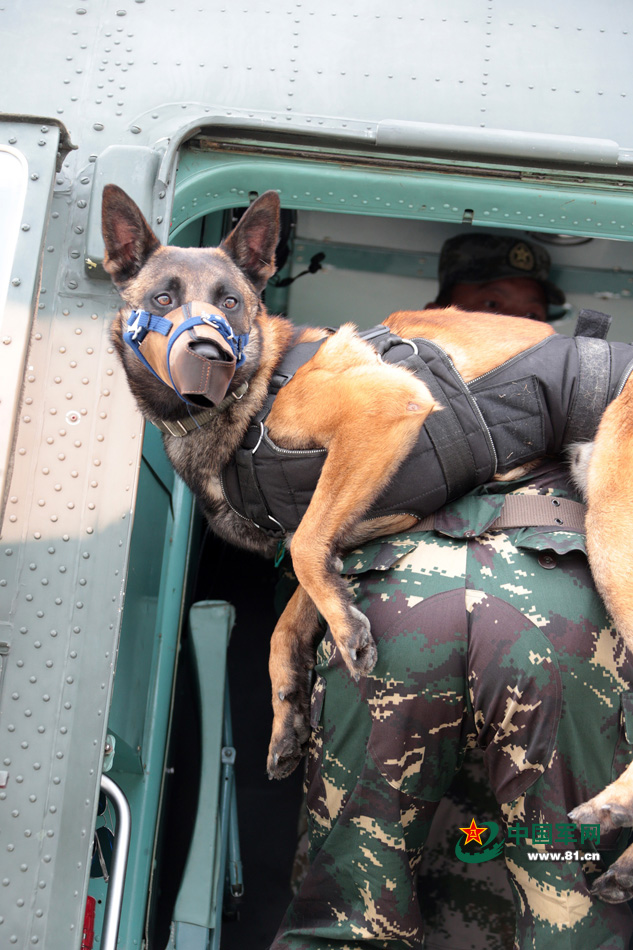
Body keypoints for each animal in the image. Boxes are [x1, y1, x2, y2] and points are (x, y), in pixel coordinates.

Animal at [101, 184, 632, 900]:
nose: (212, 354)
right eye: (162, 299)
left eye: (231, 301)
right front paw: (289, 711)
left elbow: (305, 555)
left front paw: (345, 640)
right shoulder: (341, 528)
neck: (254, 393)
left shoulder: (380, 412)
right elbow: (291, 616)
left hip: (613, 536)